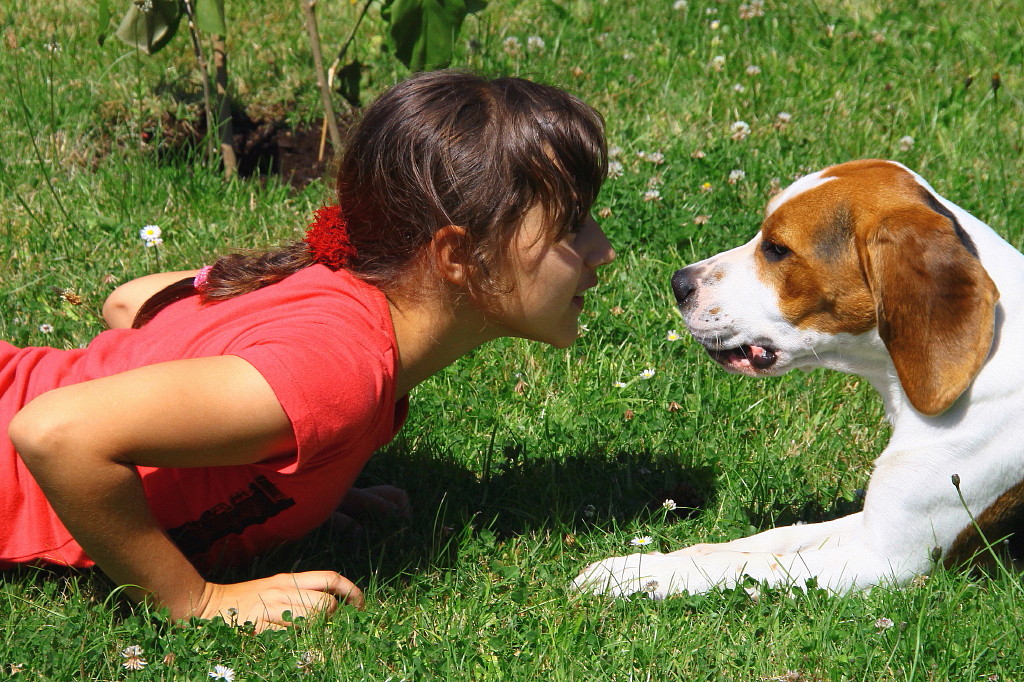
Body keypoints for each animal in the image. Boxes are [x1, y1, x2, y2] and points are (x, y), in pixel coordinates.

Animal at [577, 159, 1024, 593]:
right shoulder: (868, 523)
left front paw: (641, 573)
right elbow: (770, 538)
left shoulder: (888, 560)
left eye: (777, 249)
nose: (677, 283)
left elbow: (745, 563)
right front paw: (652, 557)